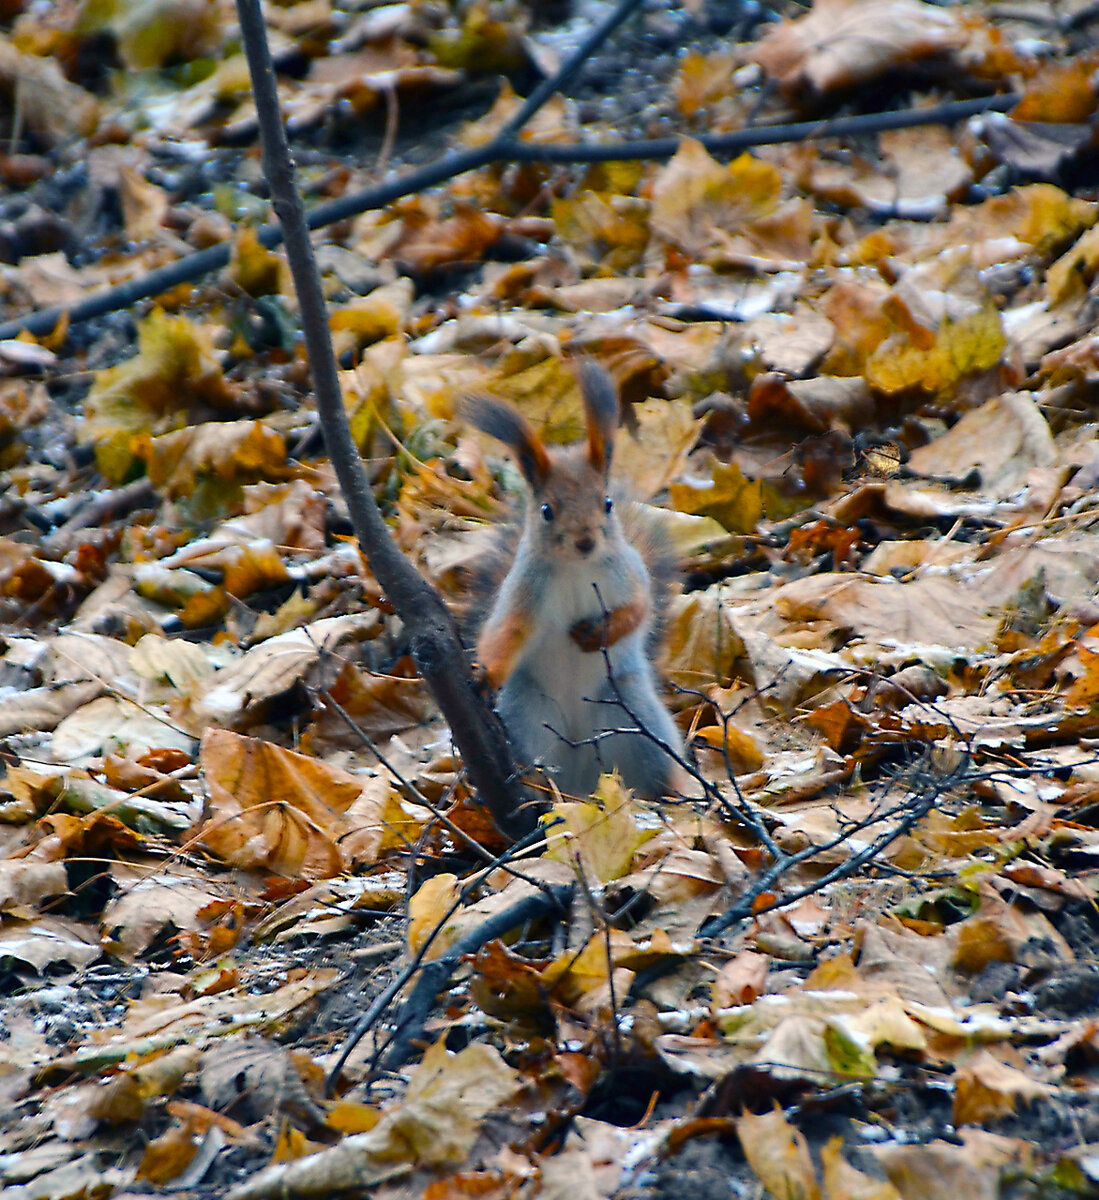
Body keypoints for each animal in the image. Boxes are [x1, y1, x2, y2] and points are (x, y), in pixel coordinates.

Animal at [463, 360, 686, 801]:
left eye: (607, 502)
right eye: (547, 510)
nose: (585, 541)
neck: (577, 568)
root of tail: (585, 782)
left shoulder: (630, 573)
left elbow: (638, 610)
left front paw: (596, 633)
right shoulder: (525, 590)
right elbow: (509, 631)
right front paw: (484, 675)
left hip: (637, 721)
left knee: (658, 770)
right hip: (529, 716)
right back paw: (534, 786)